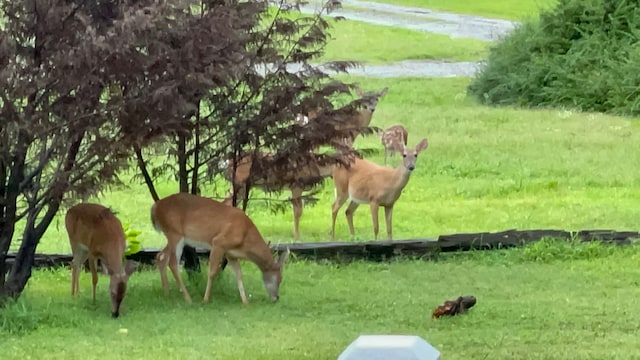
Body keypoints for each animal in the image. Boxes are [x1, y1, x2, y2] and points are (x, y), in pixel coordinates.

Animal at [150, 191, 290, 304]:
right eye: (280, 279)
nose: (276, 298)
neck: (245, 236)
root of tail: (155, 208)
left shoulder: (230, 254)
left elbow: (239, 274)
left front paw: (245, 302)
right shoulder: (218, 242)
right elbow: (212, 272)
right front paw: (205, 299)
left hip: (173, 236)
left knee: (161, 256)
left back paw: (167, 293)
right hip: (175, 233)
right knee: (173, 263)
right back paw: (187, 298)